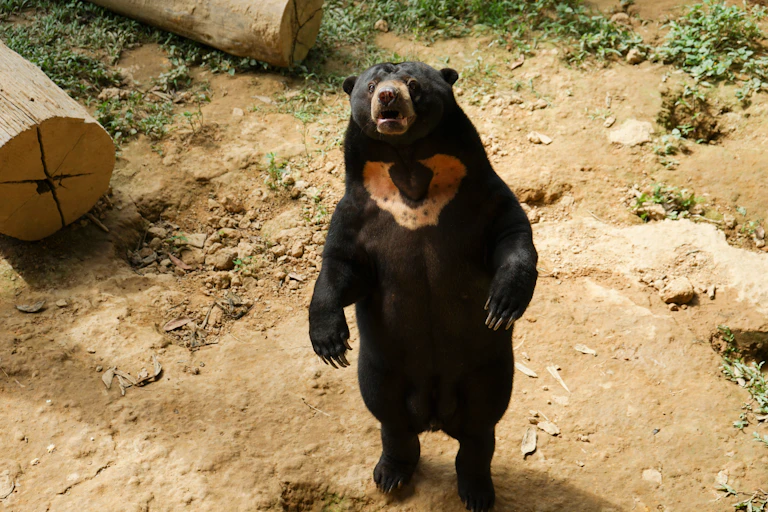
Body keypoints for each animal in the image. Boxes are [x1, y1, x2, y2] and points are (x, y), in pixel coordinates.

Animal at [308, 61, 538, 512]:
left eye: (413, 84)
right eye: (371, 86)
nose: (388, 97)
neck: (410, 168)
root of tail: (434, 413)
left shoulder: (481, 193)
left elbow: (513, 234)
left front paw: (502, 306)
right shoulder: (357, 212)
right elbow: (342, 267)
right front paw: (329, 344)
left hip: (488, 369)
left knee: (480, 428)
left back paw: (476, 491)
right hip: (382, 367)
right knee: (390, 417)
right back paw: (391, 475)